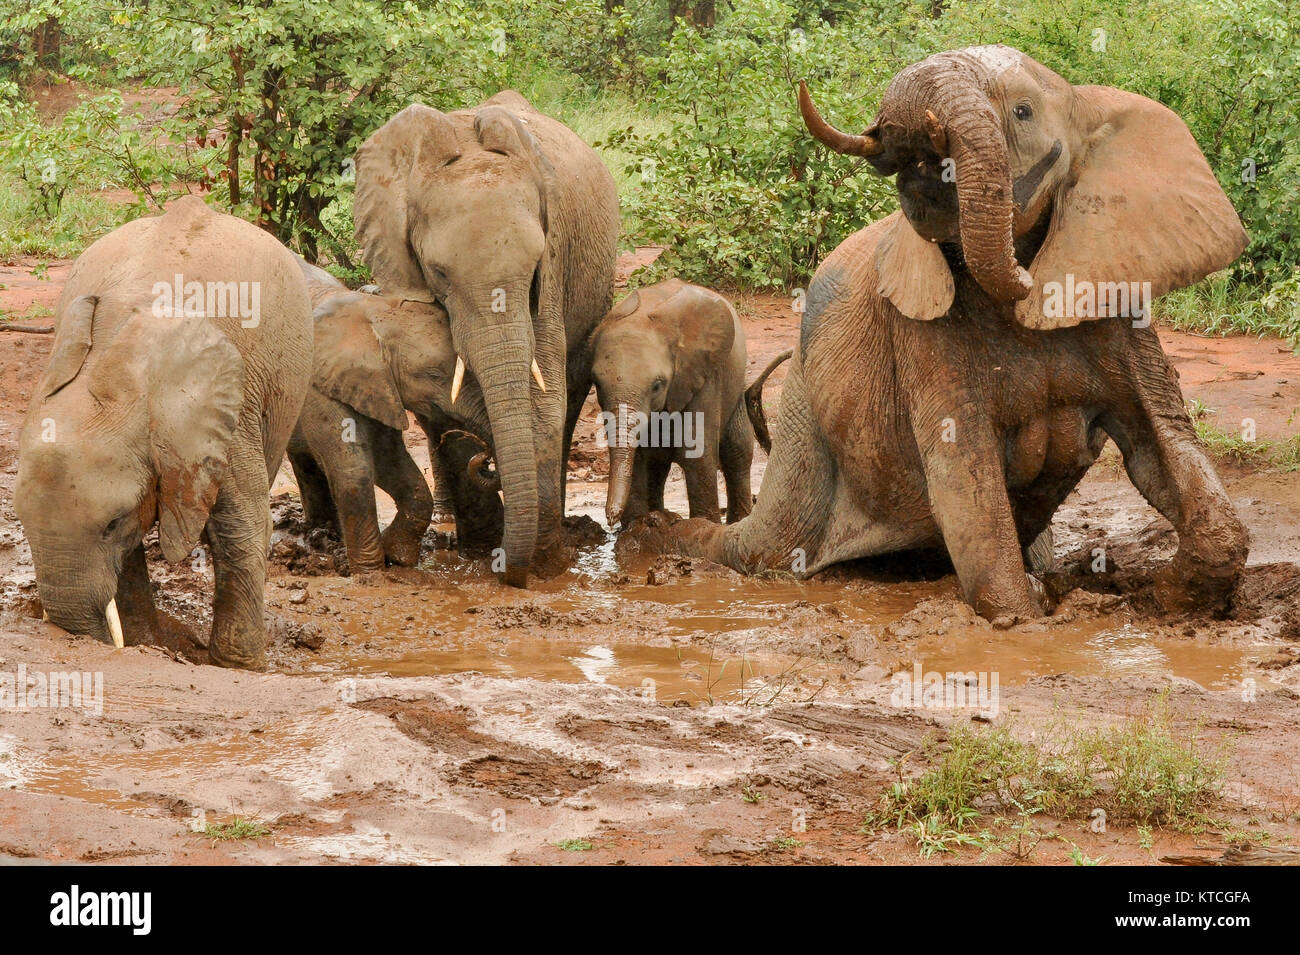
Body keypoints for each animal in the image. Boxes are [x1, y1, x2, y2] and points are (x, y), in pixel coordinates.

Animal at [289, 261, 467, 574]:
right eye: (434, 376)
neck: (374, 312)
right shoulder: (315, 383)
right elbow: (355, 469)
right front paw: (371, 574)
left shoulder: (379, 387)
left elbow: (390, 459)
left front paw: (398, 556)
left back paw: (322, 535)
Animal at [353, 87, 621, 589]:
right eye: (439, 273)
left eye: (533, 268)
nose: (489, 463)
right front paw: (480, 553)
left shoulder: (553, 266)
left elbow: (546, 395)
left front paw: (544, 566)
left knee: (572, 392)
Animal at [587, 276, 754, 530]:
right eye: (596, 383)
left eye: (658, 385)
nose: (610, 519)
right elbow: (639, 456)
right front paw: (637, 527)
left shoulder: (702, 377)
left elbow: (696, 452)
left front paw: (704, 525)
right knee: (657, 465)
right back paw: (660, 516)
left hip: (734, 386)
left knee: (738, 450)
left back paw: (737, 523)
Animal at [670, 46, 1248, 621]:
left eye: (1022, 112)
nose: (913, 146)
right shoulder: (918, 331)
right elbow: (965, 474)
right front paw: (1025, 616)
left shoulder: (1118, 301)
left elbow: (1162, 443)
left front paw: (1163, 599)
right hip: (804, 423)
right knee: (763, 547)